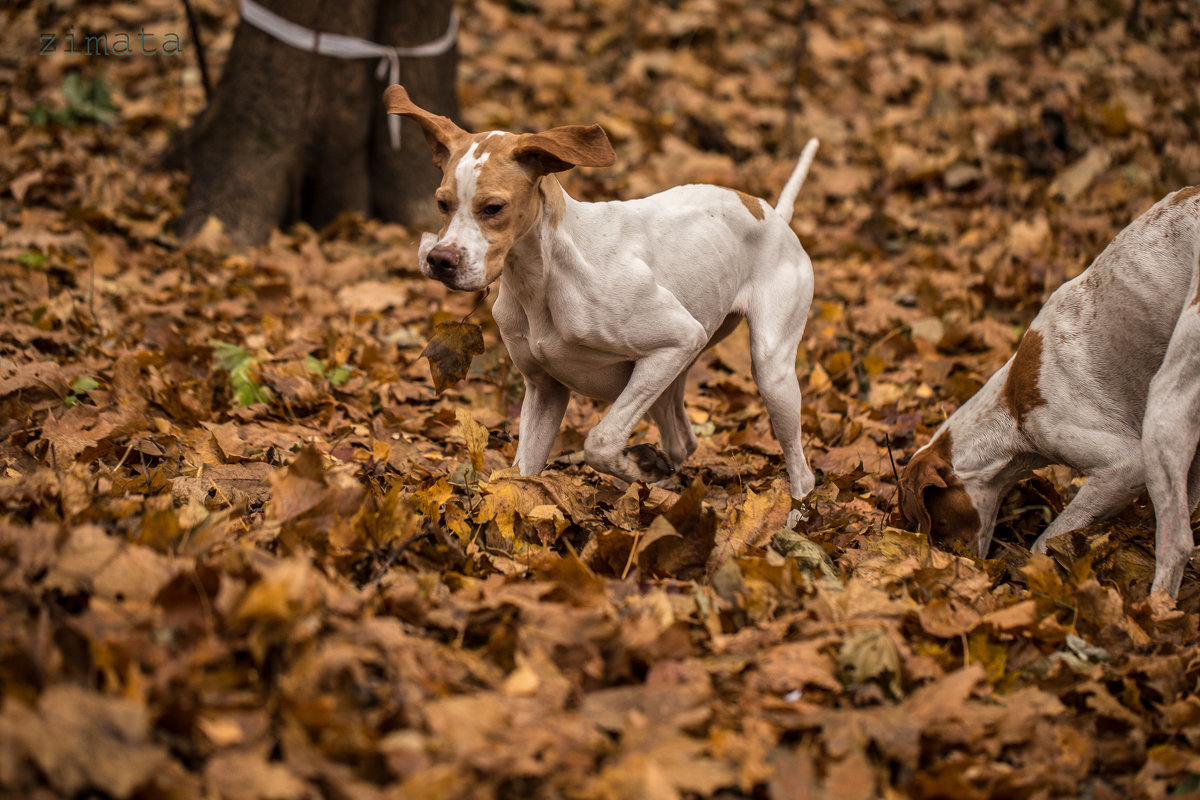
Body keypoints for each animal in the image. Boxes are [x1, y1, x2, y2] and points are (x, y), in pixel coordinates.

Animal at [388, 82, 820, 520]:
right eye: (442, 203)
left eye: (493, 208)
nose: (440, 260)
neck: (544, 280)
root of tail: (774, 215)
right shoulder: (545, 391)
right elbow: (521, 476)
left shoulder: (678, 339)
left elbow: (599, 441)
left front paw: (638, 465)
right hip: (669, 377)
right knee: (683, 442)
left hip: (766, 370)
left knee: (801, 471)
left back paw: (794, 519)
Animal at [902, 188, 1200, 597]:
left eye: (934, 523)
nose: (954, 571)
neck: (1010, 408)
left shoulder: (1124, 465)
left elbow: (1044, 541)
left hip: (1166, 410)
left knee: (1177, 544)